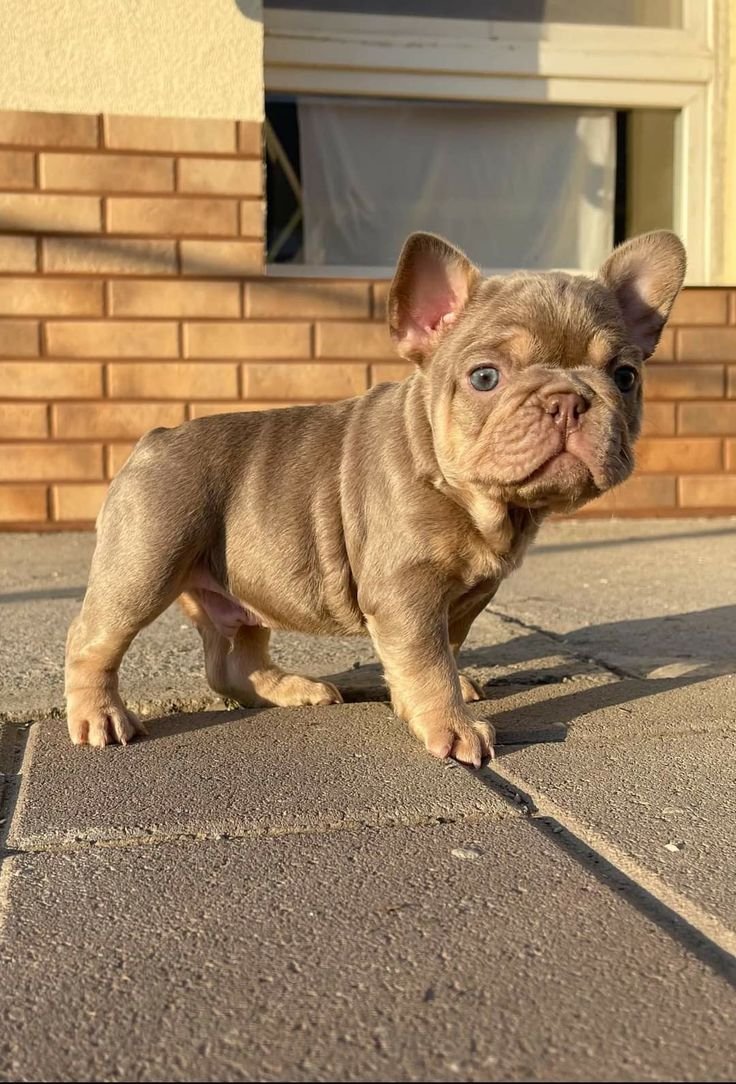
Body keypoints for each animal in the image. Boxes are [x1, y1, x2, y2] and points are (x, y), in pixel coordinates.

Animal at [65, 229, 685, 764]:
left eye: (625, 377)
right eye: (485, 378)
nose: (567, 400)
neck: (472, 496)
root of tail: (155, 437)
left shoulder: (468, 594)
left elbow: (444, 647)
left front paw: (444, 690)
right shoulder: (405, 591)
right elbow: (427, 659)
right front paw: (450, 725)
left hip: (239, 585)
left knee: (234, 660)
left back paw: (294, 689)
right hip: (146, 564)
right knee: (93, 640)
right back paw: (100, 717)